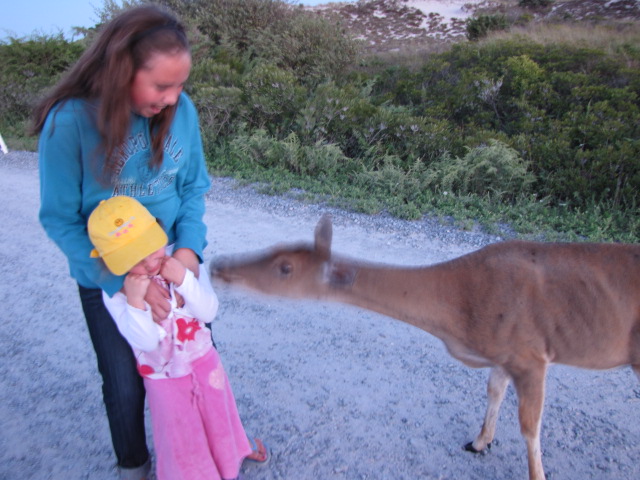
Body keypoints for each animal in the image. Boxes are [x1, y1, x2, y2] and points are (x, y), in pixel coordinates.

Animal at [210, 215, 640, 480]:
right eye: (276, 247)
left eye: (285, 268)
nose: (218, 266)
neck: (458, 314)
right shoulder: (505, 351)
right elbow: (493, 391)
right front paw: (479, 442)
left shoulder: (530, 352)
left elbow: (530, 426)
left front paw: (535, 473)